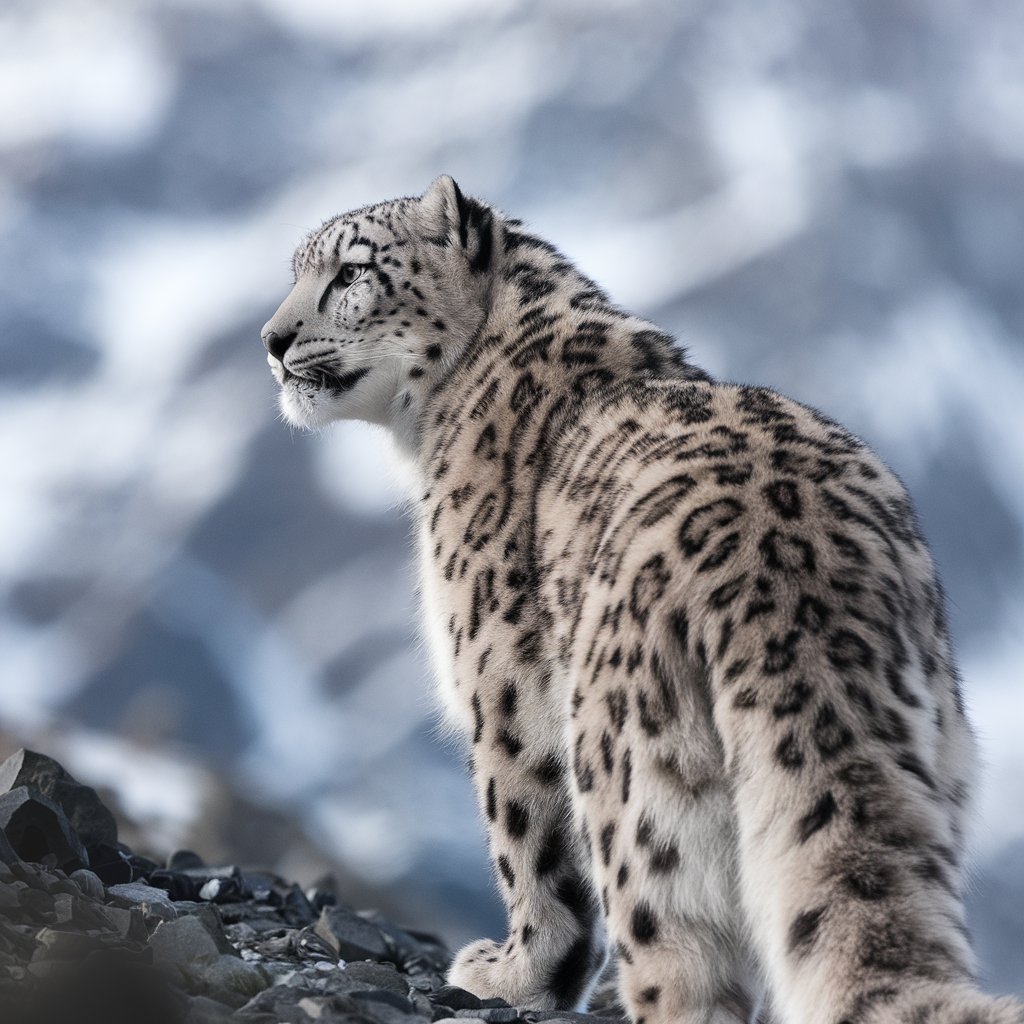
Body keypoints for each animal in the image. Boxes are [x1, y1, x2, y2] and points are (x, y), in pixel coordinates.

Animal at [260, 176, 1019, 1024]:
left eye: (353, 271)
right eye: (299, 270)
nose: (273, 340)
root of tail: (797, 586)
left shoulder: (500, 685)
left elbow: (526, 843)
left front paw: (515, 975)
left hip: (637, 791)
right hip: (942, 761)